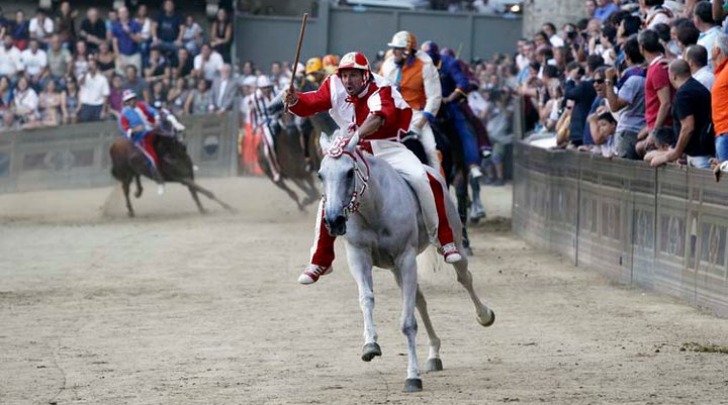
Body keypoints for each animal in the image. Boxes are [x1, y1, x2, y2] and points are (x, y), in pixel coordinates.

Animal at [318, 138, 494, 392]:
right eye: (321, 175)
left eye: (350, 172)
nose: (333, 220)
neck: (375, 207)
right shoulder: (359, 256)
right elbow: (366, 298)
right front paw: (370, 345)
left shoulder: (406, 257)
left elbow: (408, 322)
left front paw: (412, 377)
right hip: (395, 269)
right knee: (419, 300)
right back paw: (434, 353)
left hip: (453, 244)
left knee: (464, 278)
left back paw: (484, 315)